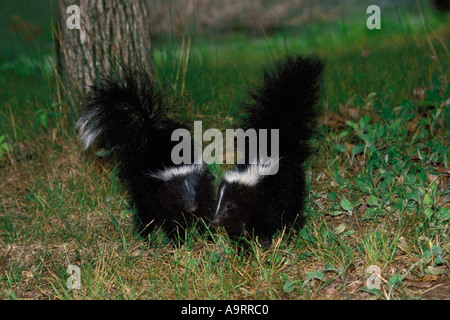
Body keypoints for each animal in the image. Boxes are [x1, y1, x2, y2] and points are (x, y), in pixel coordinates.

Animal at [76, 69, 216, 241]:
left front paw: (209, 234)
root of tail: (149, 134)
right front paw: (179, 239)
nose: (192, 208)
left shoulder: (203, 185)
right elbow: (171, 218)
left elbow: (206, 210)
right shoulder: (158, 192)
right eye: (180, 196)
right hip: (141, 186)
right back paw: (144, 233)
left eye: (195, 191)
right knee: (144, 211)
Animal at [212, 55, 324, 248]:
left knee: (292, 206)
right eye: (218, 202)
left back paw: (293, 227)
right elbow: (238, 228)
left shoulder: (266, 199)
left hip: (290, 185)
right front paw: (242, 245)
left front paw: (263, 241)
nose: (216, 220)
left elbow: (266, 220)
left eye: (230, 205)